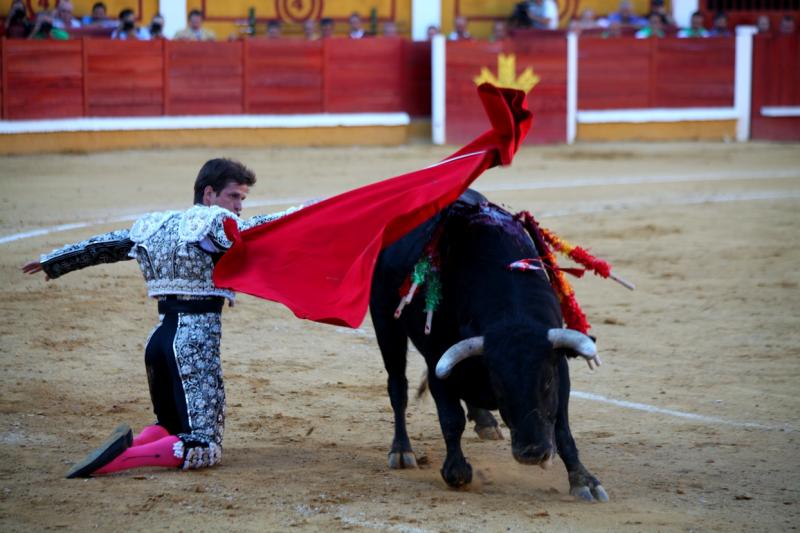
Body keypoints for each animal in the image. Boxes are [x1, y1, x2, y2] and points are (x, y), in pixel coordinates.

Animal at [372, 191, 608, 502]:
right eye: (499, 385)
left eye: (546, 381)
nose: (532, 453)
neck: (512, 314)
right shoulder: (437, 363)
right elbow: (451, 419)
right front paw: (457, 472)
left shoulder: (559, 366)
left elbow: (562, 427)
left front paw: (584, 480)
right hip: (386, 323)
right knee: (397, 385)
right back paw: (401, 451)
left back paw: (485, 421)